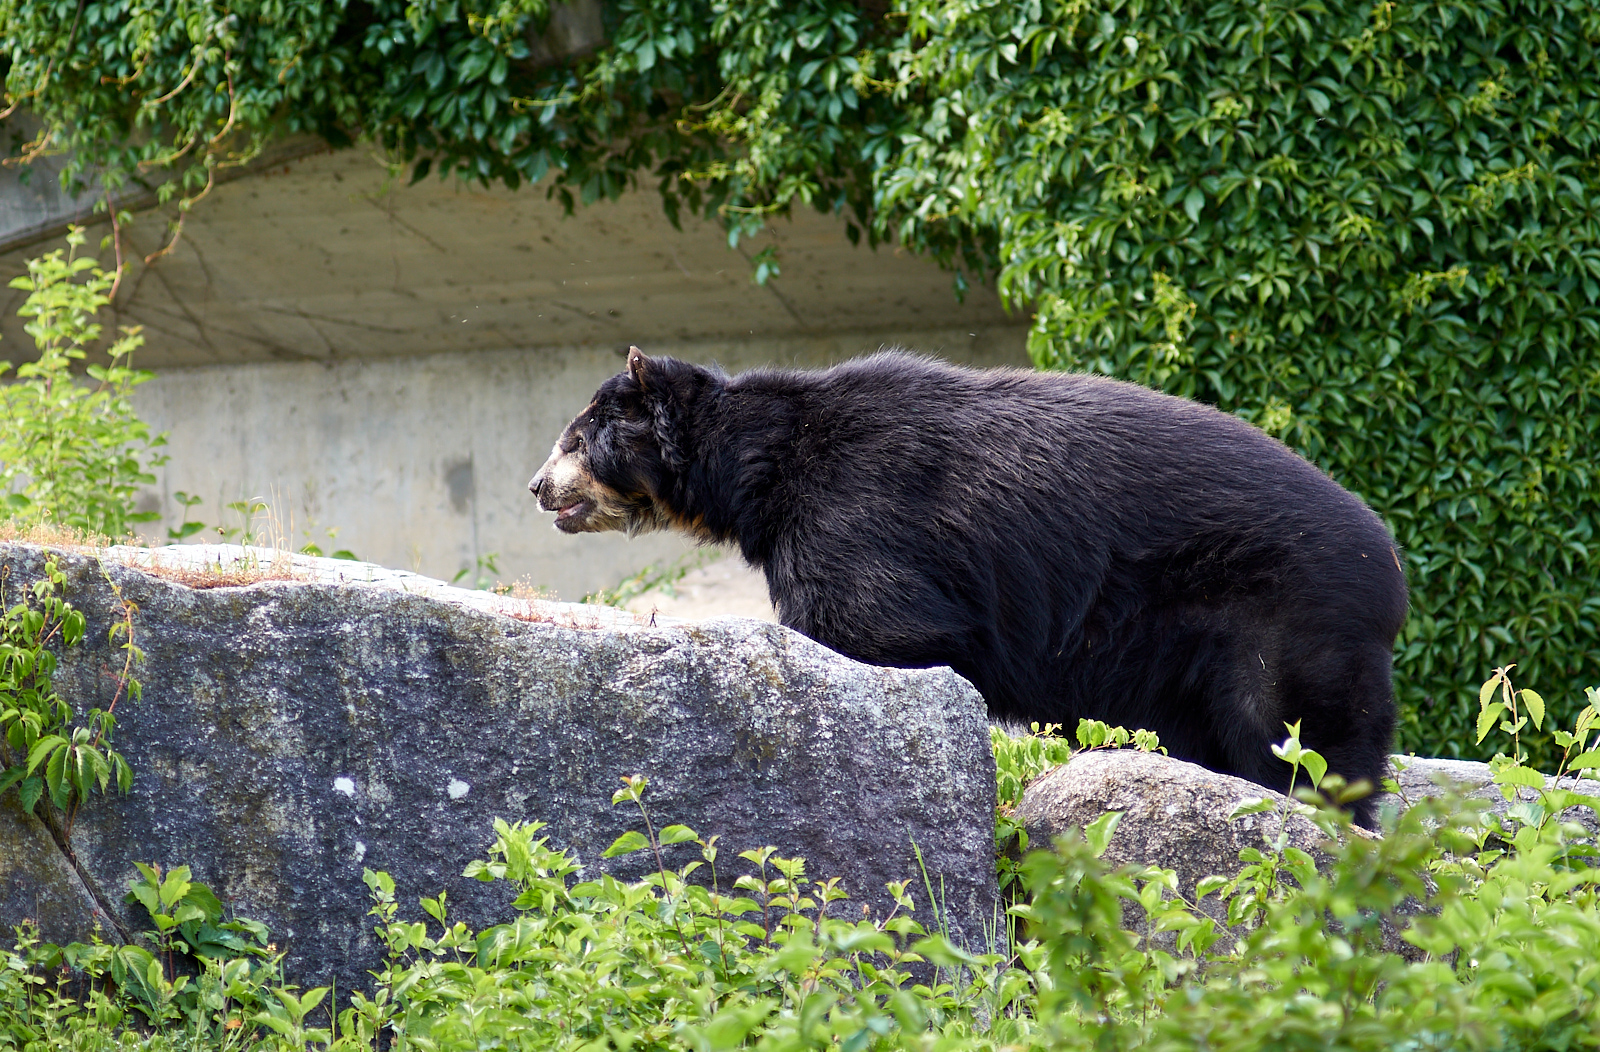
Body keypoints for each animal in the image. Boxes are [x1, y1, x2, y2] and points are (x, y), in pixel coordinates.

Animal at [530, 347, 1407, 827]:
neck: (764, 470)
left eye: (576, 439)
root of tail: (1391, 566)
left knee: (1295, 734)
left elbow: (877, 629)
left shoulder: (856, 518)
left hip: (1279, 617)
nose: (538, 488)